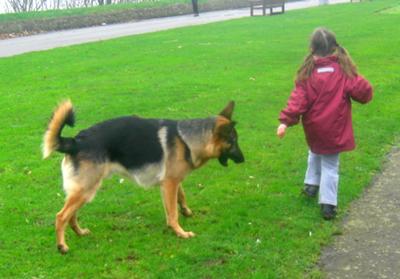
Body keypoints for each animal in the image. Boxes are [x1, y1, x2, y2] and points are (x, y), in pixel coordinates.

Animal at [43, 100, 244, 254]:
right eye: (233, 142)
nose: (243, 159)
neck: (186, 140)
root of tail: (75, 142)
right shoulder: (169, 184)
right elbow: (172, 213)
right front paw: (180, 232)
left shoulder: (172, 181)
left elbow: (181, 197)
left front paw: (186, 211)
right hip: (86, 189)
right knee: (61, 216)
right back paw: (62, 246)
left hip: (83, 191)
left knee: (71, 215)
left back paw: (79, 232)